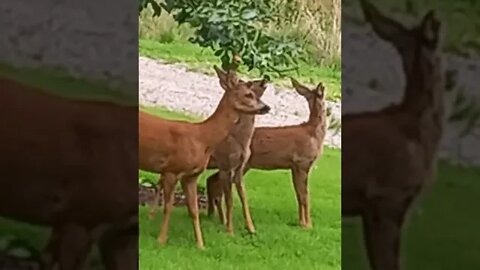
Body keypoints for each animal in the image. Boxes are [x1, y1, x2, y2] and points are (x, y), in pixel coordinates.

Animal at [139, 66, 272, 249]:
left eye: (254, 92)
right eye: (248, 94)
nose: (267, 107)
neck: (201, 137)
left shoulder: (191, 175)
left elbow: (194, 210)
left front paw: (201, 245)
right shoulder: (172, 170)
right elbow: (168, 208)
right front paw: (161, 240)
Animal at [206, 77, 326, 232]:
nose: (322, 86)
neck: (313, 134)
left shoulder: (294, 166)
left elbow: (298, 194)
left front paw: (301, 223)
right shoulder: (302, 162)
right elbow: (305, 195)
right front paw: (308, 225)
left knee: (212, 181)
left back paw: (215, 217)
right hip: (238, 165)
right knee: (215, 183)